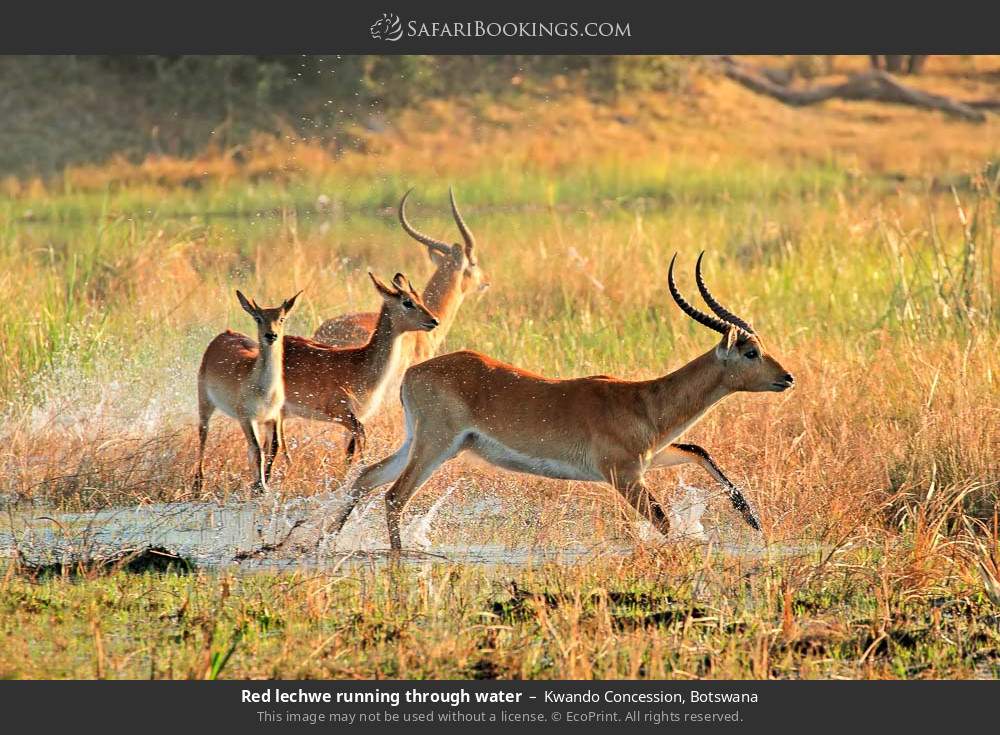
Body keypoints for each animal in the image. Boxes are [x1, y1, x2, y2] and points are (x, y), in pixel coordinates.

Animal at [195, 290, 300, 492]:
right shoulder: (246, 417)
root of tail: (224, 333)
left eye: (281, 318)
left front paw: (263, 482)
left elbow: (273, 446)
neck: (263, 391)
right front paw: (261, 486)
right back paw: (198, 482)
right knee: (203, 433)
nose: (271, 335)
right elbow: (258, 450)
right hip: (204, 401)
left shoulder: (274, 416)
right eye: (258, 318)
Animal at [282, 274, 438, 462]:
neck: (361, 364)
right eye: (407, 302)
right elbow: (361, 439)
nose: (434, 321)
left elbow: (350, 453)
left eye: (419, 298)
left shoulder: (358, 415)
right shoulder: (343, 413)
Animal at [336, 253, 796, 548]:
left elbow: (699, 450)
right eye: (750, 352)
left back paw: (322, 541)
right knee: (394, 496)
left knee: (366, 478)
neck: (644, 402)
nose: (787, 378)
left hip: (419, 443)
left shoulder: (645, 461)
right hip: (436, 446)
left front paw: (753, 519)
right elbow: (663, 522)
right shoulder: (624, 476)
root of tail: (412, 373)